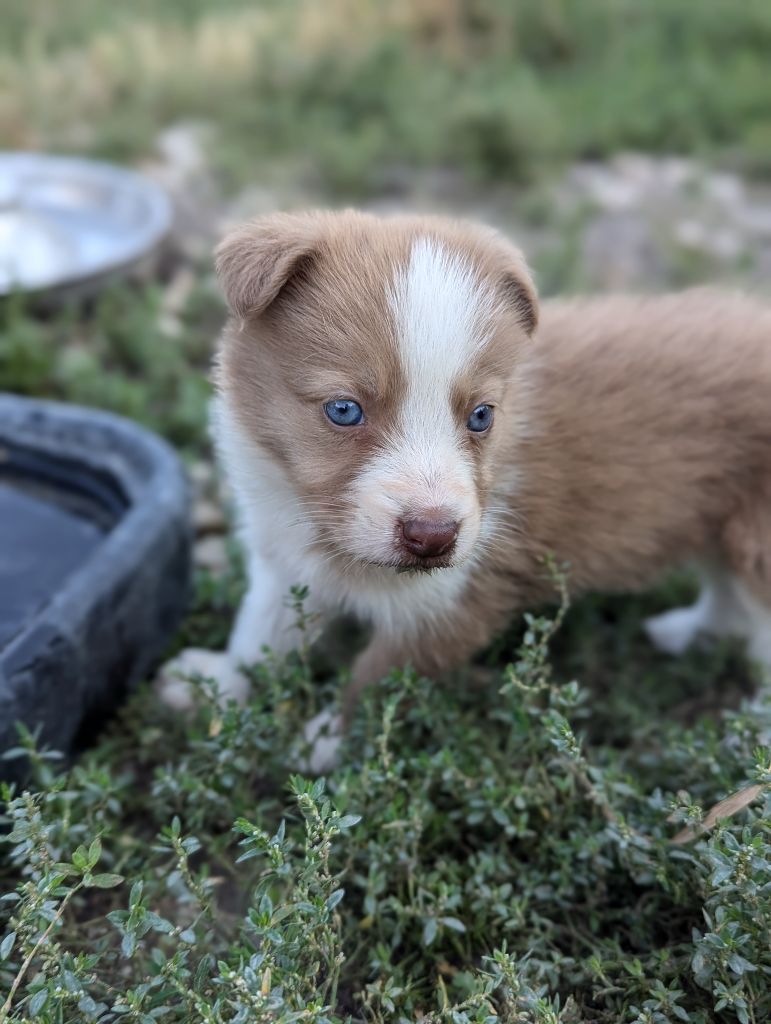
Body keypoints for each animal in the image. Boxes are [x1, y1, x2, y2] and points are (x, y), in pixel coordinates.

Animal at [157, 209, 769, 753]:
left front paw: (325, 745)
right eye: (344, 410)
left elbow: (376, 684)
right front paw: (216, 686)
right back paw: (688, 635)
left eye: (481, 416)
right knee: (730, 602)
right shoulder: (283, 560)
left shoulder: (451, 604)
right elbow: (260, 631)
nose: (433, 536)